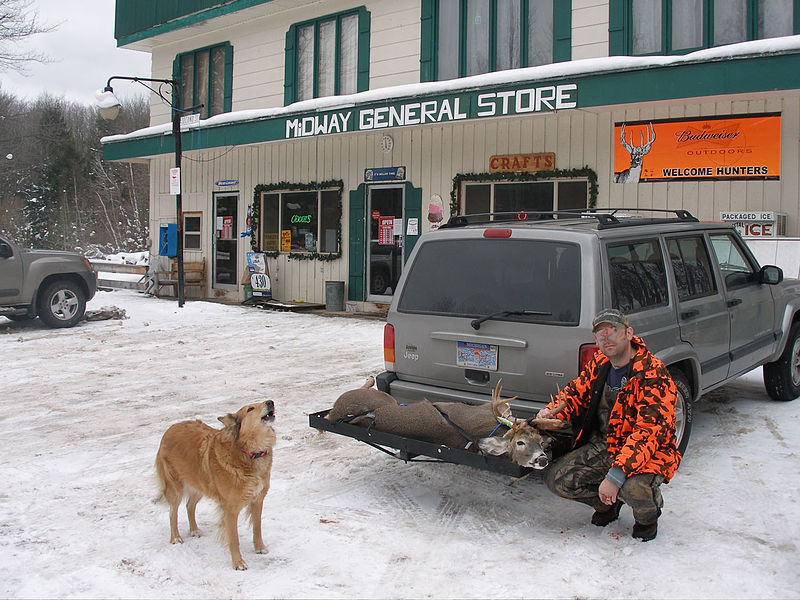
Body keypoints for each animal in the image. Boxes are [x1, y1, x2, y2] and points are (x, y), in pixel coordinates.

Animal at [155, 400, 276, 568]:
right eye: (250, 409)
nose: (270, 402)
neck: (249, 452)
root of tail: (171, 428)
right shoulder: (230, 509)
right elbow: (234, 538)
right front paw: (238, 562)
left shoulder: (258, 500)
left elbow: (257, 528)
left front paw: (259, 548)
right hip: (176, 488)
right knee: (173, 512)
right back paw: (175, 537)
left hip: (199, 484)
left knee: (189, 505)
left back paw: (194, 530)